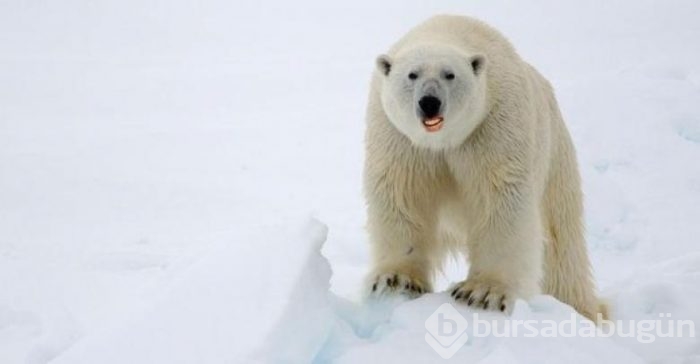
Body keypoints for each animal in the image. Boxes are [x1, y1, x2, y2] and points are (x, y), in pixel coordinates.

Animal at [366, 15, 608, 320]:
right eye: (412, 75)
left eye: (450, 74)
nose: (430, 102)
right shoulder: (399, 137)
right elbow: (402, 193)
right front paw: (396, 280)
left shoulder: (494, 124)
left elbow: (501, 199)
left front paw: (482, 293)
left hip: (555, 153)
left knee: (561, 240)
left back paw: (582, 309)